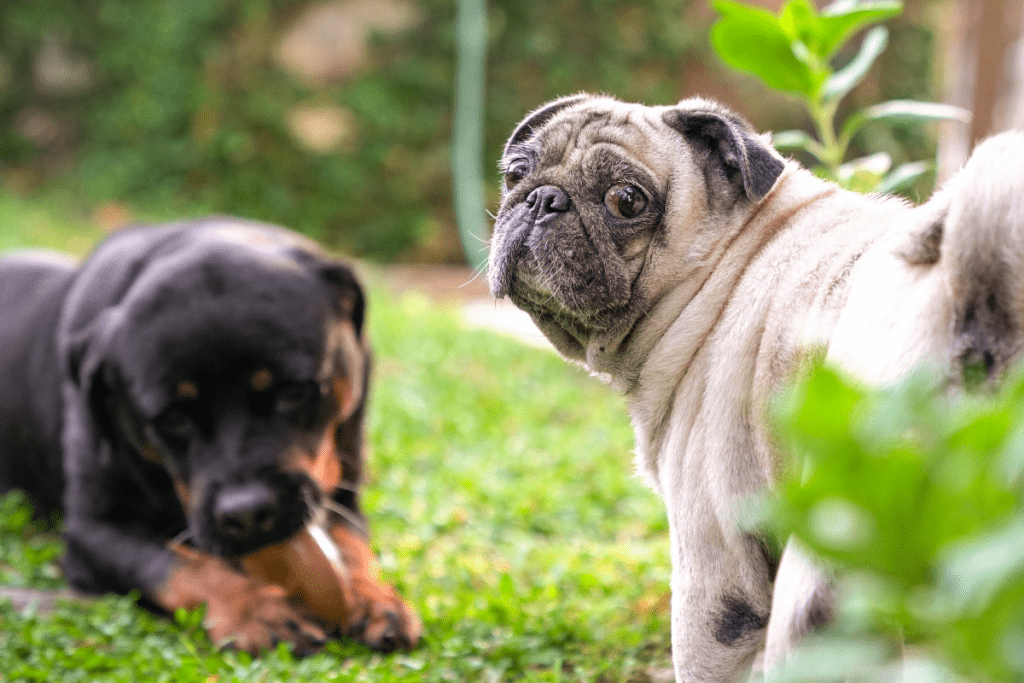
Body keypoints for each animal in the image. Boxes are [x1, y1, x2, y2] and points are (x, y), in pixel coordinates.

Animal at [0, 216, 419, 655]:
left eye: (293, 391)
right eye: (172, 417)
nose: (247, 512)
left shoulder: (344, 492)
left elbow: (353, 546)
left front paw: (375, 600)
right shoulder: (91, 531)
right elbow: (177, 564)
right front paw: (253, 610)